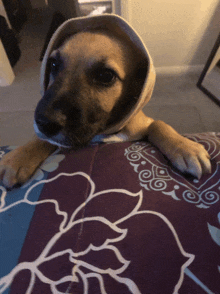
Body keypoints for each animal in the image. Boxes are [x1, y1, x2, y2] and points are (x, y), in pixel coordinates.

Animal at [0, 14, 211, 188]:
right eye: (53, 64)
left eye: (106, 76)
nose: (44, 122)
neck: (105, 132)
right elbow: (42, 140)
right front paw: (17, 158)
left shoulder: (140, 123)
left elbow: (158, 124)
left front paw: (185, 147)